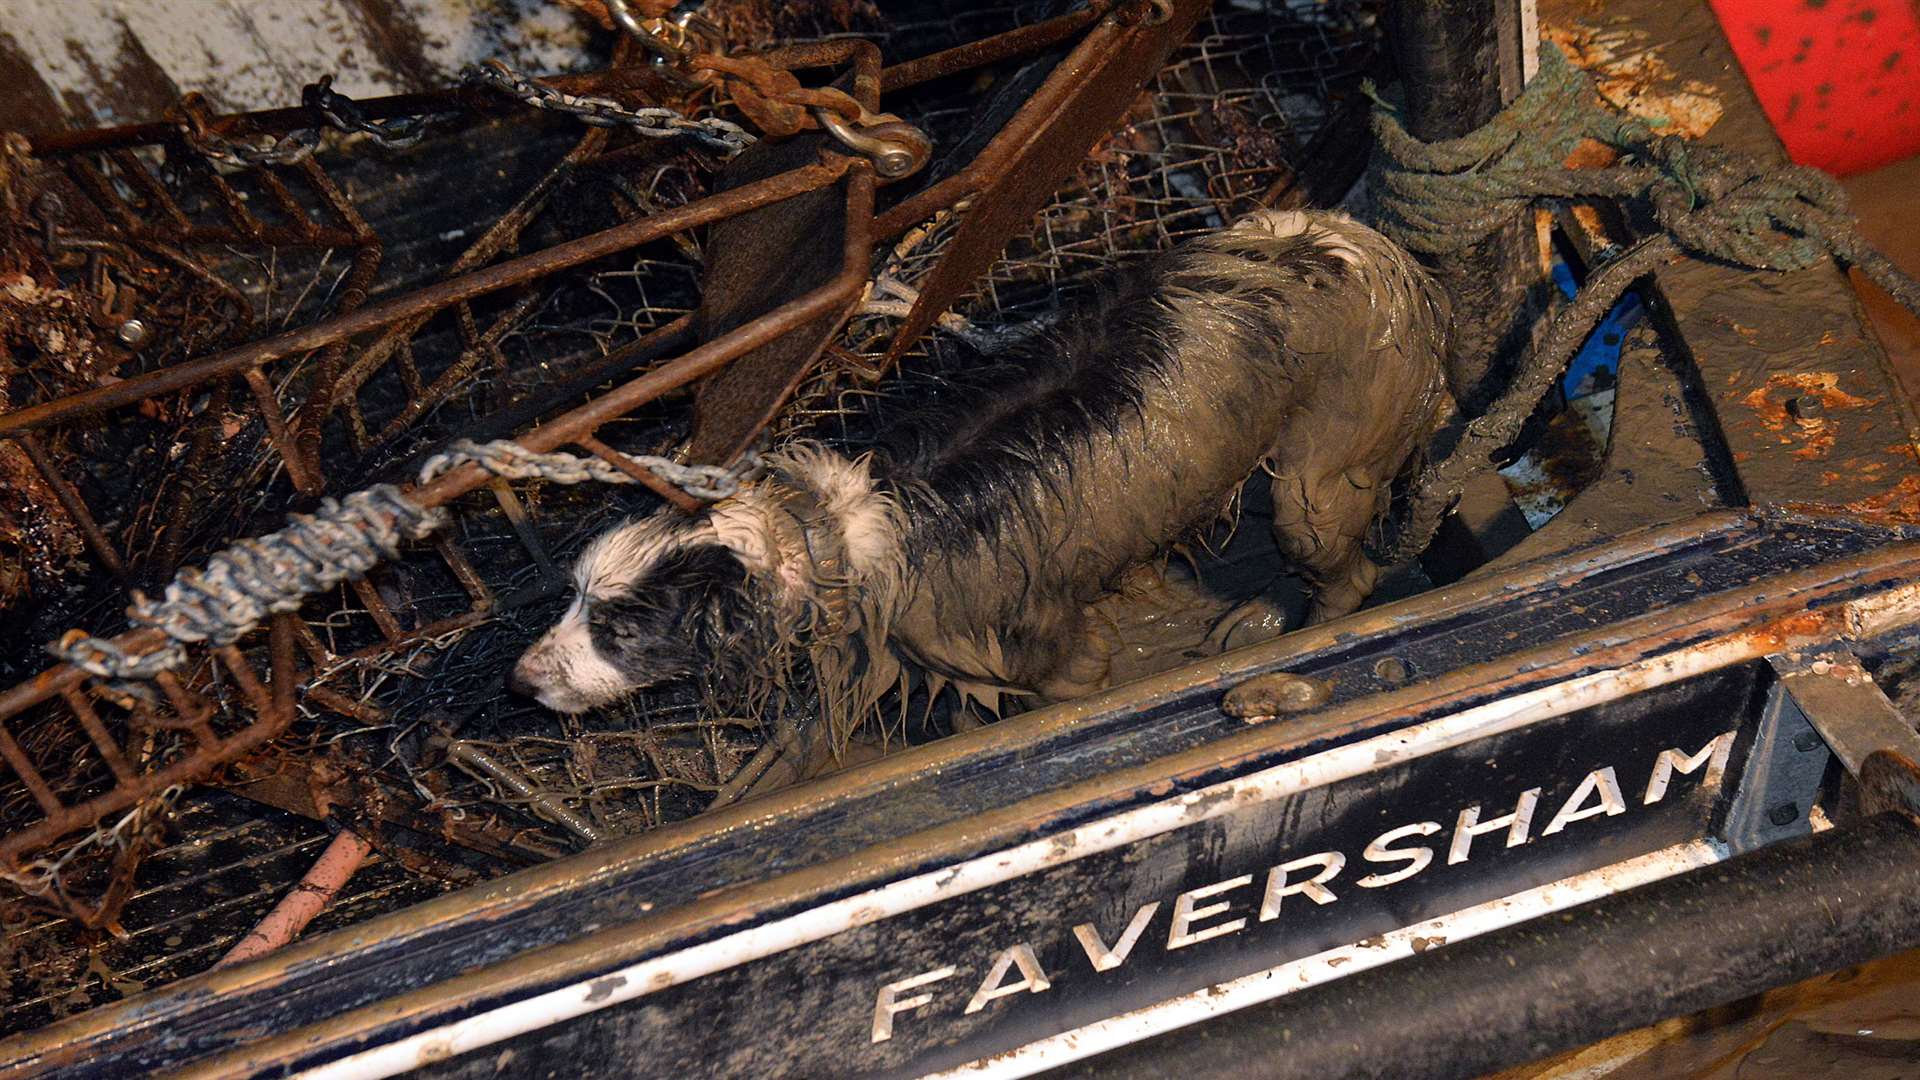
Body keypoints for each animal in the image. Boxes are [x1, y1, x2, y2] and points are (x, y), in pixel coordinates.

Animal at [503, 209, 1443, 726]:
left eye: (624, 632)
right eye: (573, 597)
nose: (520, 679)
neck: (824, 535)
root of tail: (1352, 244)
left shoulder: (1058, 661)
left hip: (1319, 483)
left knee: (1349, 571)